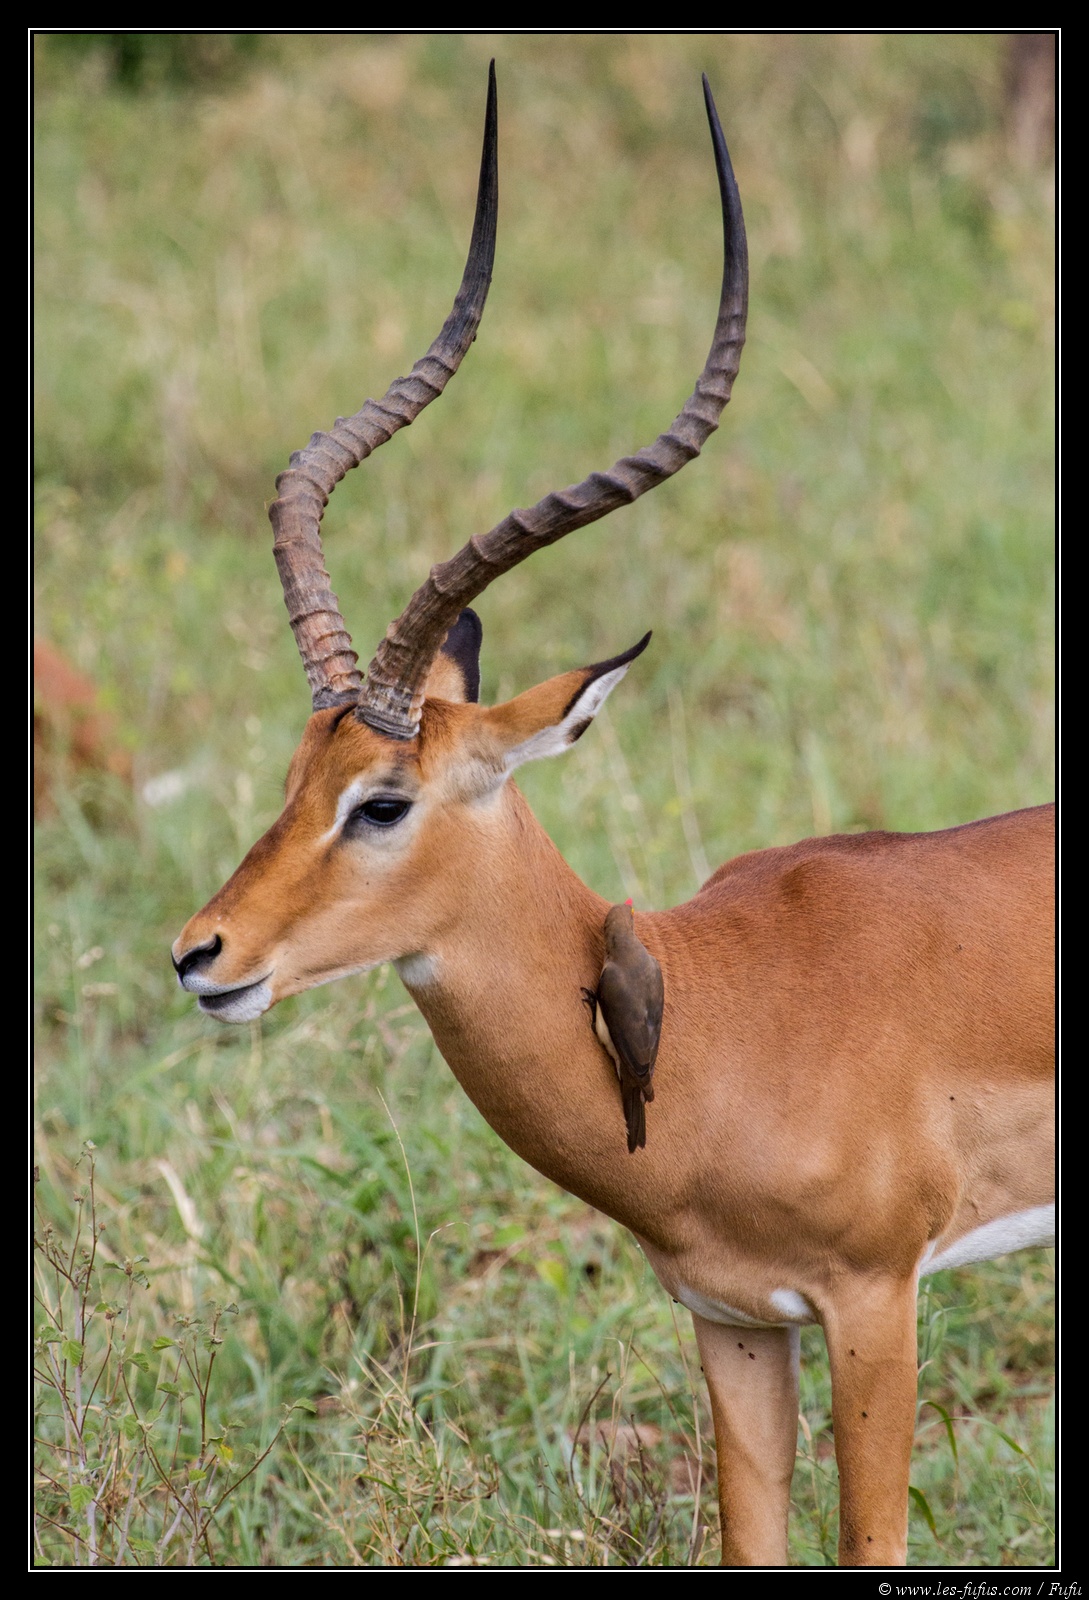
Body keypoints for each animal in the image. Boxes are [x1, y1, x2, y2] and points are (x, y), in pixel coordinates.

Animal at [171, 67, 1055, 1567]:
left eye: (383, 799)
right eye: (295, 768)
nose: (201, 956)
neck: (713, 1021)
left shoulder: (875, 1301)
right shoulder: (728, 1318)